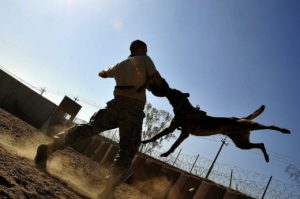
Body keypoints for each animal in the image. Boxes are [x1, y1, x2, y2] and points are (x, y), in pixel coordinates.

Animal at [142, 88, 290, 162]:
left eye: (174, 91)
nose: (167, 88)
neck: (185, 110)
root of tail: (242, 118)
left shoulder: (184, 133)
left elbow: (174, 145)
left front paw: (166, 154)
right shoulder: (170, 128)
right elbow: (156, 136)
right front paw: (145, 141)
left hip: (251, 126)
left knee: (269, 127)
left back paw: (283, 130)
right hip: (241, 144)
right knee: (260, 144)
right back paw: (266, 156)